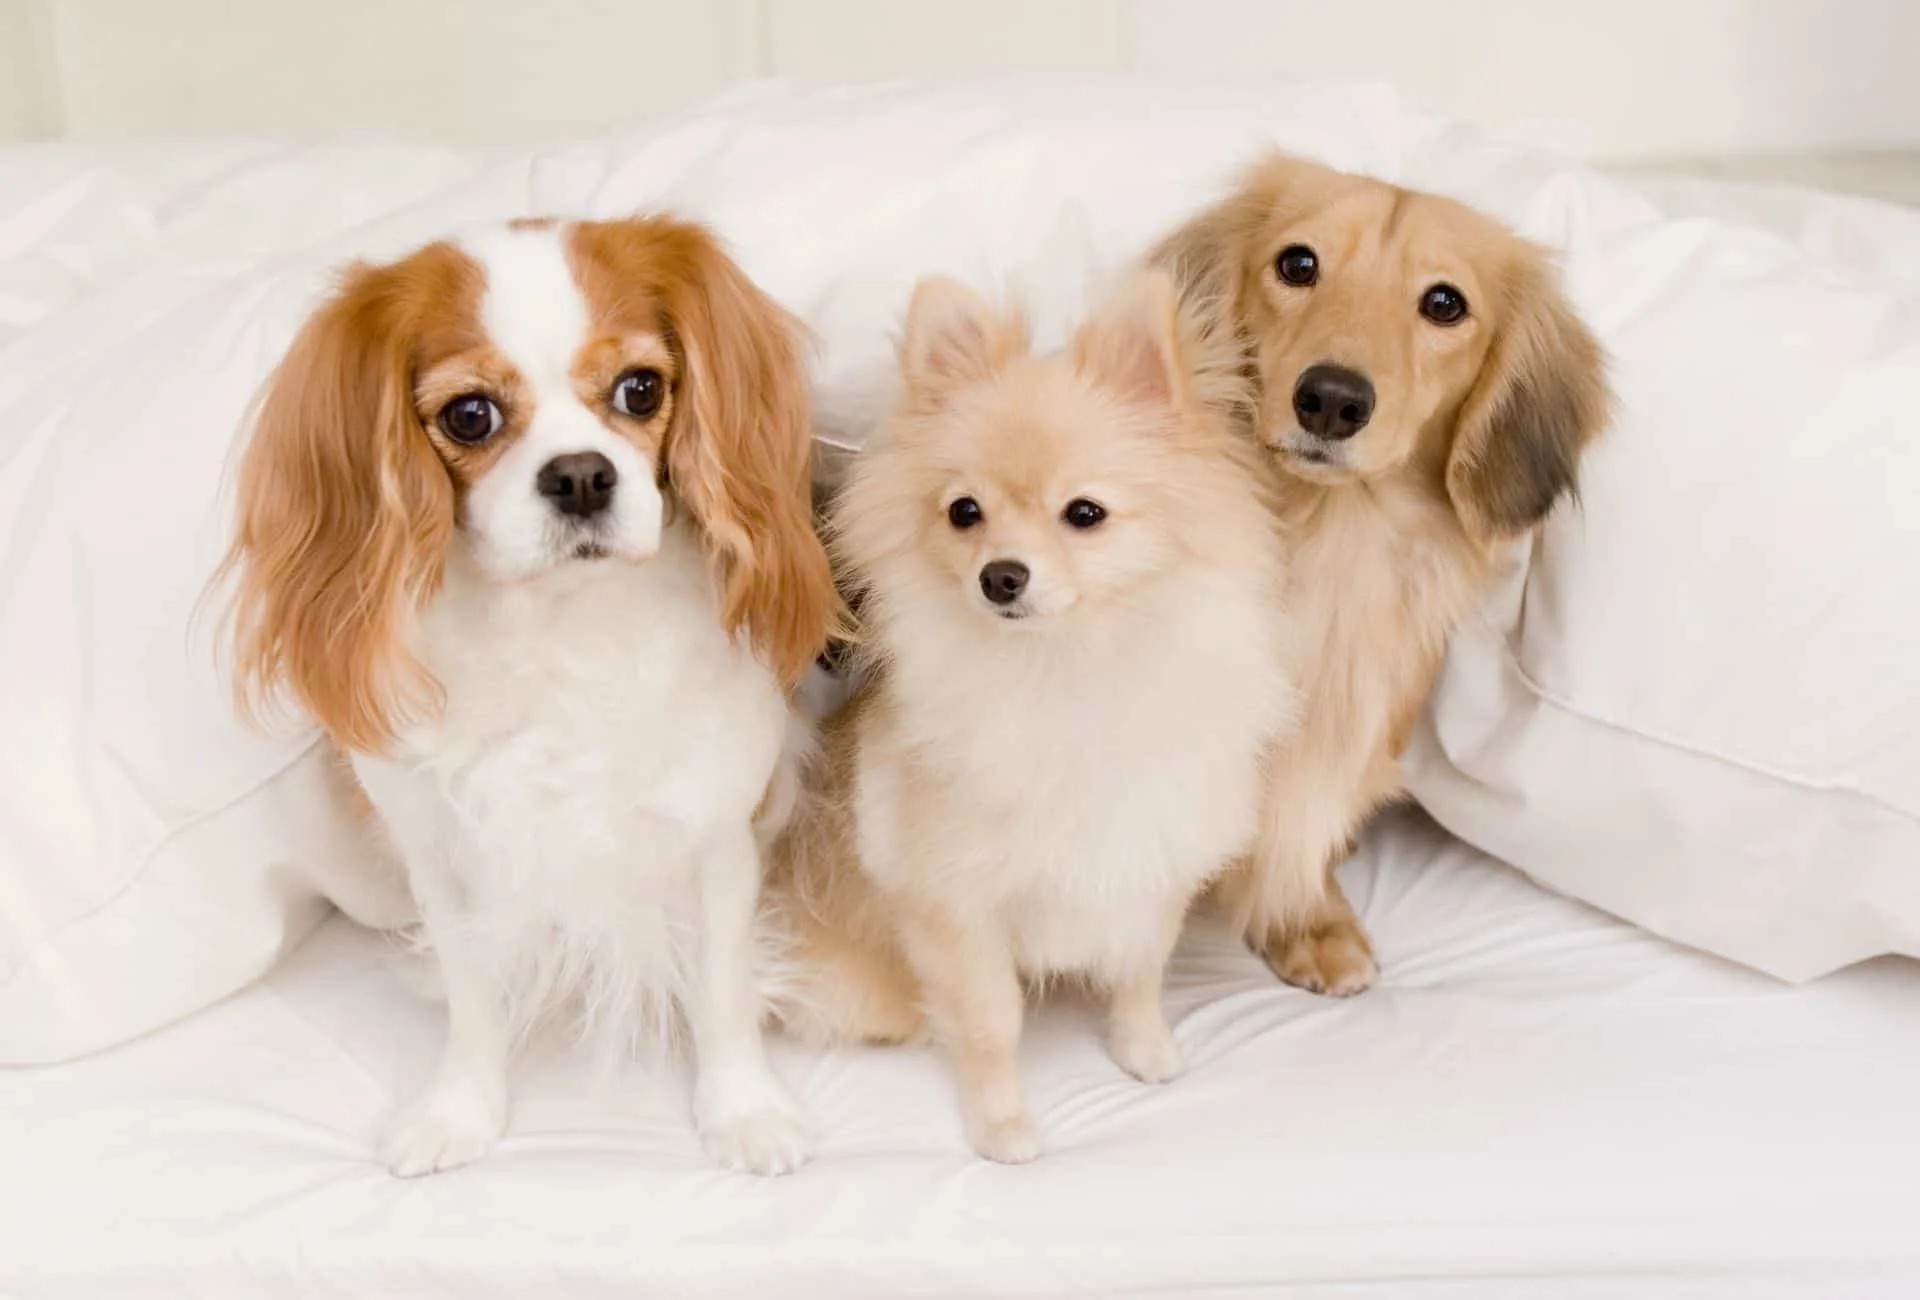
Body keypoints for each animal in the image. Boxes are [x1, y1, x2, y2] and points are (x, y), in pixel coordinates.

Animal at [220, 215, 837, 1175]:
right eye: (470, 415)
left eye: (640, 389)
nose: (581, 473)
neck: (559, 625)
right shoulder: (445, 854)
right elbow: (473, 997)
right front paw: (460, 1111)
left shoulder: (716, 832)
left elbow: (723, 985)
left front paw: (743, 1110)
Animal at [760, 268, 1290, 1159]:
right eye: (963, 512)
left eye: (1085, 514)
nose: (1001, 576)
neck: (1066, 669)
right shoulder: (958, 910)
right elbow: (990, 1025)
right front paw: (1002, 1124)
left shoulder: (1150, 863)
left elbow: (1140, 973)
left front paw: (1145, 1049)